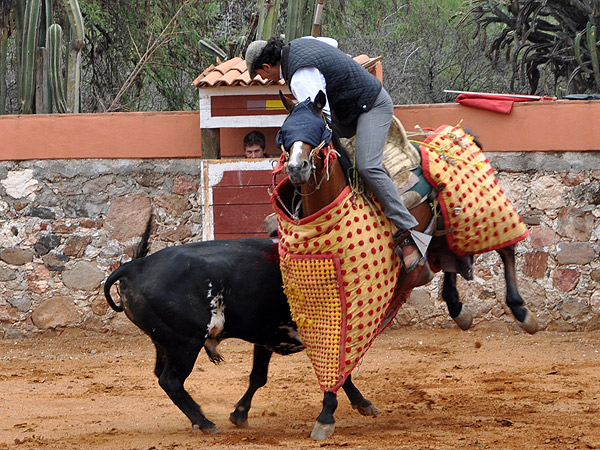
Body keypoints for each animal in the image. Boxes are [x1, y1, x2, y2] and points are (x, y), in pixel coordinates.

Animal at [270, 90, 536, 440]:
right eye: (284, 131)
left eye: (319, 129)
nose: (297, 168)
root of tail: (454, 131)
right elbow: (339, 354)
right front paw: (350, 403)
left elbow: (343, 351)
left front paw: (328, 411)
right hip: (441, 234)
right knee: (450, 262)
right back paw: (457, 308)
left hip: (483, 212)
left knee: (507, 250)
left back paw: (521, 311)